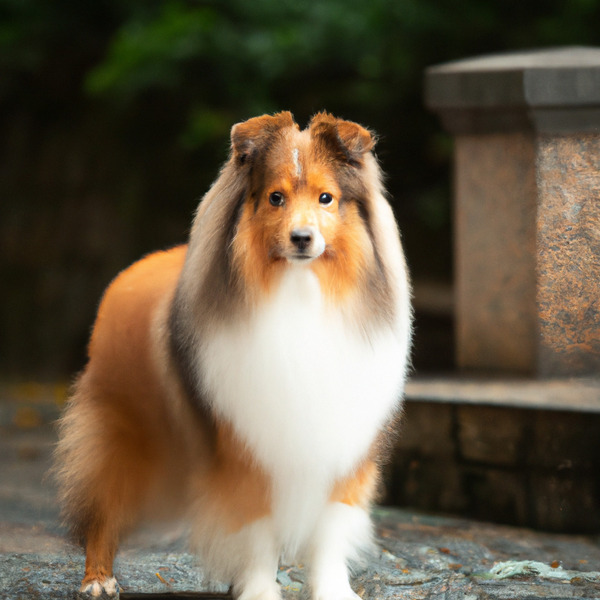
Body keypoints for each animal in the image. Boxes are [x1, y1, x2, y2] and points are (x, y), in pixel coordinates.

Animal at [54, 110, 412, 596]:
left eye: (326, 198)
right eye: (276, 197)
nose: (302, 238)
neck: (299, 295)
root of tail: (130, 271)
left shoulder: (341, 444)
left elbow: (329, 529)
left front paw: (332, 590)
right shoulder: (242, 444)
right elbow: (255, 527)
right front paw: (259, 589)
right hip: (123, 431)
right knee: (104, 503)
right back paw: (98, 579)